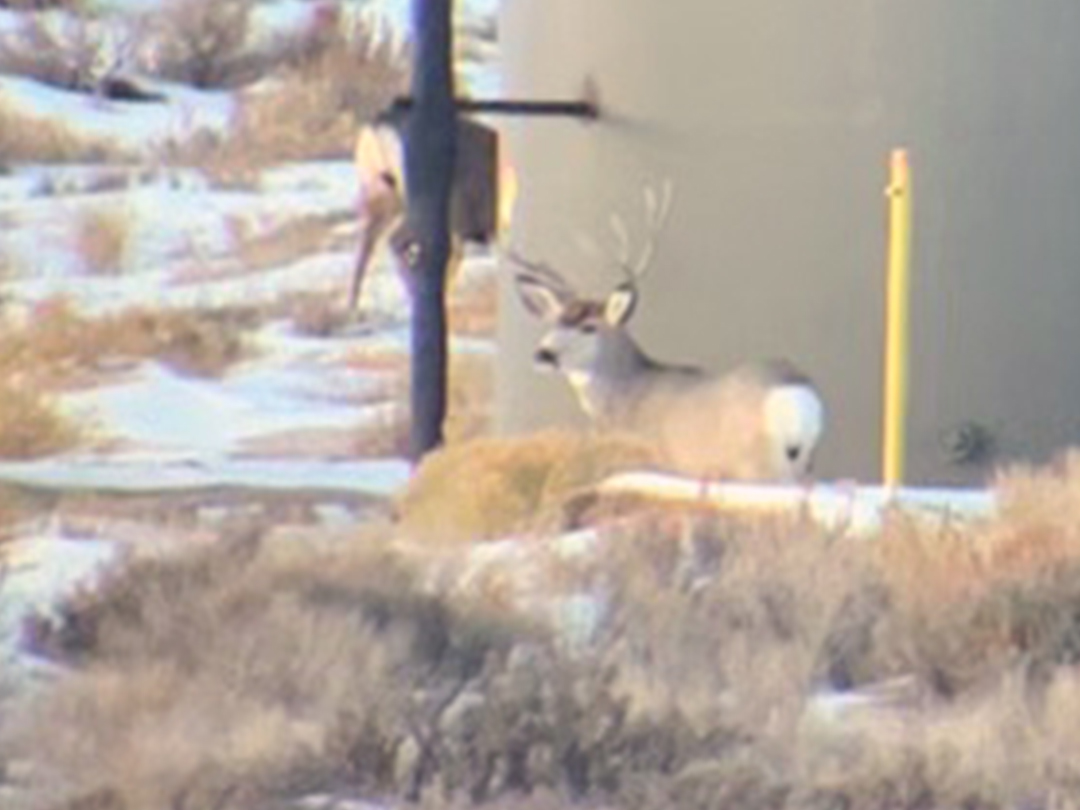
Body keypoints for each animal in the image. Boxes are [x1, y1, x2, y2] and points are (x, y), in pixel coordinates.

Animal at [511, 185, 825, 483]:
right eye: (554, 323)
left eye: (589, 327)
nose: (542, 354)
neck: (624, 397)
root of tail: (797, 394)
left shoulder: (644, 456)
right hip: (804, 461)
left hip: (758, 466)